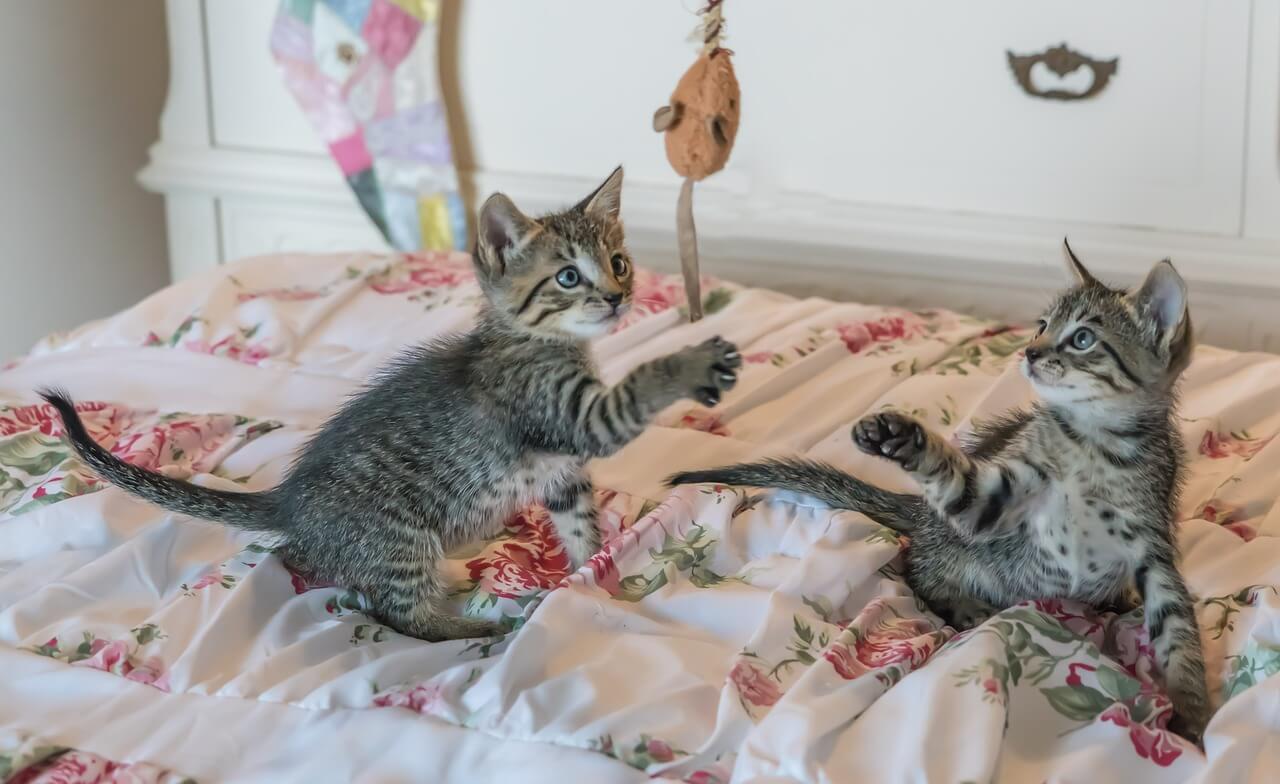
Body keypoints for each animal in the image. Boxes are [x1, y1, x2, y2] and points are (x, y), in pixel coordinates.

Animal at [45, 167, 747, 640]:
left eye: (620, 262)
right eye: (569, 276)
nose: (617, 298)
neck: (541, 341)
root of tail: (289, 501)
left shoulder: (563, 474)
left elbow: (581, 529)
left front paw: (591, 581)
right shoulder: (569, 416)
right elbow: (639, 386)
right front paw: (693, 361)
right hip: (401, 538)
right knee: (396, 615)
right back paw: (478, 628)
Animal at [670, 242, 1208, 737]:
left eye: (1081, 338)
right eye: (1041, 325)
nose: (1030, 352)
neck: (1094, 444)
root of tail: (924, 519)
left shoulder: (1153, 544)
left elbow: (1178, 630)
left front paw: (1193, 716)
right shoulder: (997, 500)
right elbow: (958, 481)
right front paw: (900, 437)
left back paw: (1114, 598)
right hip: (952, 545)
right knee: (918, 570)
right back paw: (965, 603)